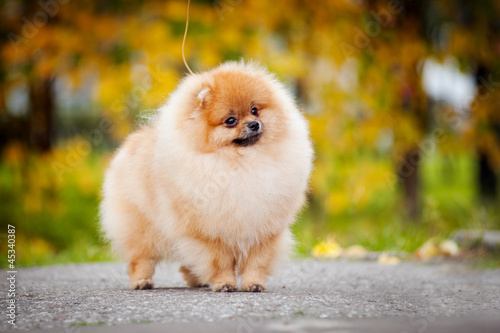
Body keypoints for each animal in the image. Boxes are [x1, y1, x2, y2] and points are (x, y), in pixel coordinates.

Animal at [100, 61, 312, 290]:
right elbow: (220, 262)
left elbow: (256, 262)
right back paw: (142, 281)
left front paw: (253, 284)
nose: (254, 124)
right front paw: (224, 283)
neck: (241, 162)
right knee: (141, 258)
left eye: (255, 110)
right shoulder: (209, 233)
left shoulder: (263, 229)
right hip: (143, 229)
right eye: (230, 120)